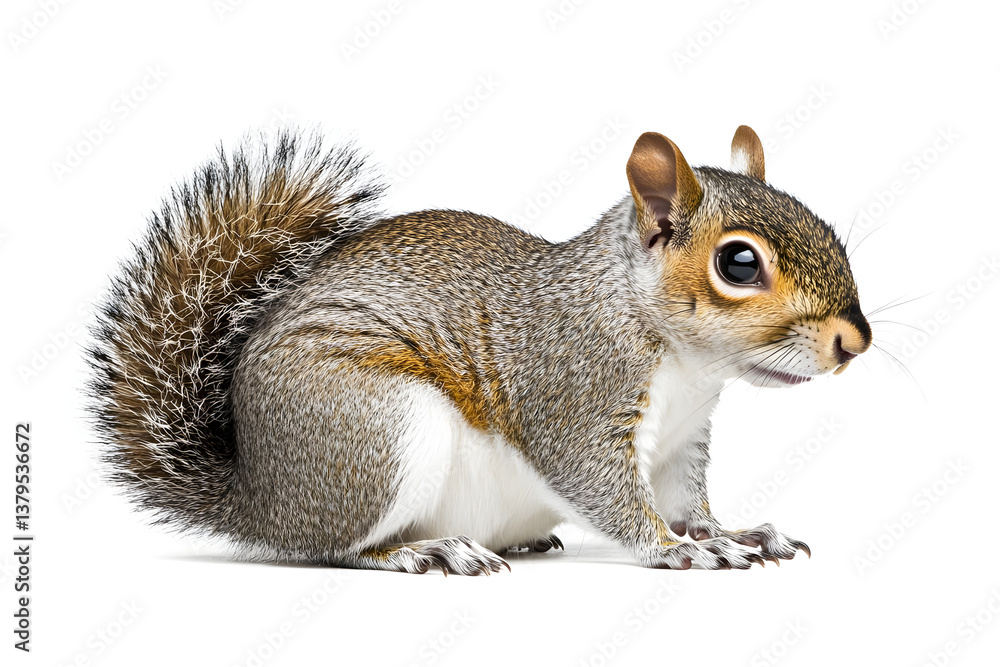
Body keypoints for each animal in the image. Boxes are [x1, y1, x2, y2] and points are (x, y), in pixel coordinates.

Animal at [87, 125, 871, 574]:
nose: (855, 340)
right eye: (738, 263)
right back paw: (422, 550)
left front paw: (732, 531)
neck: (684, 364)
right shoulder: (576, 391)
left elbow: (686, 496)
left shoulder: (682, 440)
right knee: (335, 546)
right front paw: (678, 548)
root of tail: (256, 498)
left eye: (824, 223)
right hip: (374, 432)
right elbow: (603, 487)